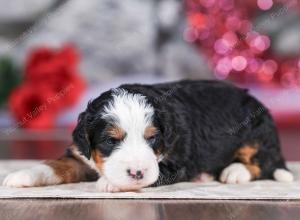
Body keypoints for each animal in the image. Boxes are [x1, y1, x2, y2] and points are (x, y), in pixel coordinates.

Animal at [1, 80, 292, 192]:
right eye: (111, 140)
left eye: (152, 138)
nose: (137, 172)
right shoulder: (78, 153)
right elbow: (53, 165)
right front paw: (20, 175)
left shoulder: (177, 160)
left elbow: (158, 172)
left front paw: (112, 184)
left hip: (256, 131)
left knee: (264, 163)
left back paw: (234, 172)